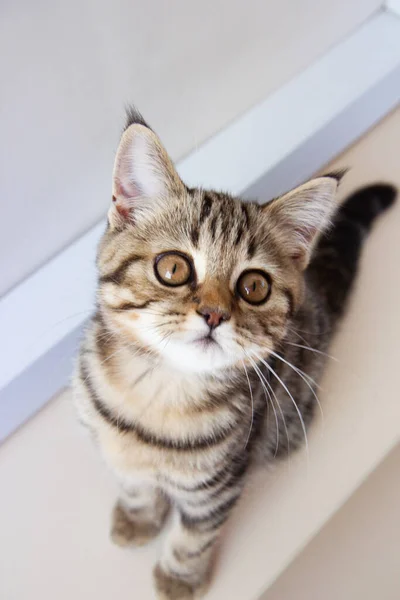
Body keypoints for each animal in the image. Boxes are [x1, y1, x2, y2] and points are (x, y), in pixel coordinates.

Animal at [73, 109, 396, 600]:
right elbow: (134, 483)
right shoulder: (112, 442)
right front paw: (138, 517)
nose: (214, 313)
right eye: (172, 268)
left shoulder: (220, 482)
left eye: (254, 286)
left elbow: (194, 535)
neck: (159, 396)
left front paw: (178, 577)